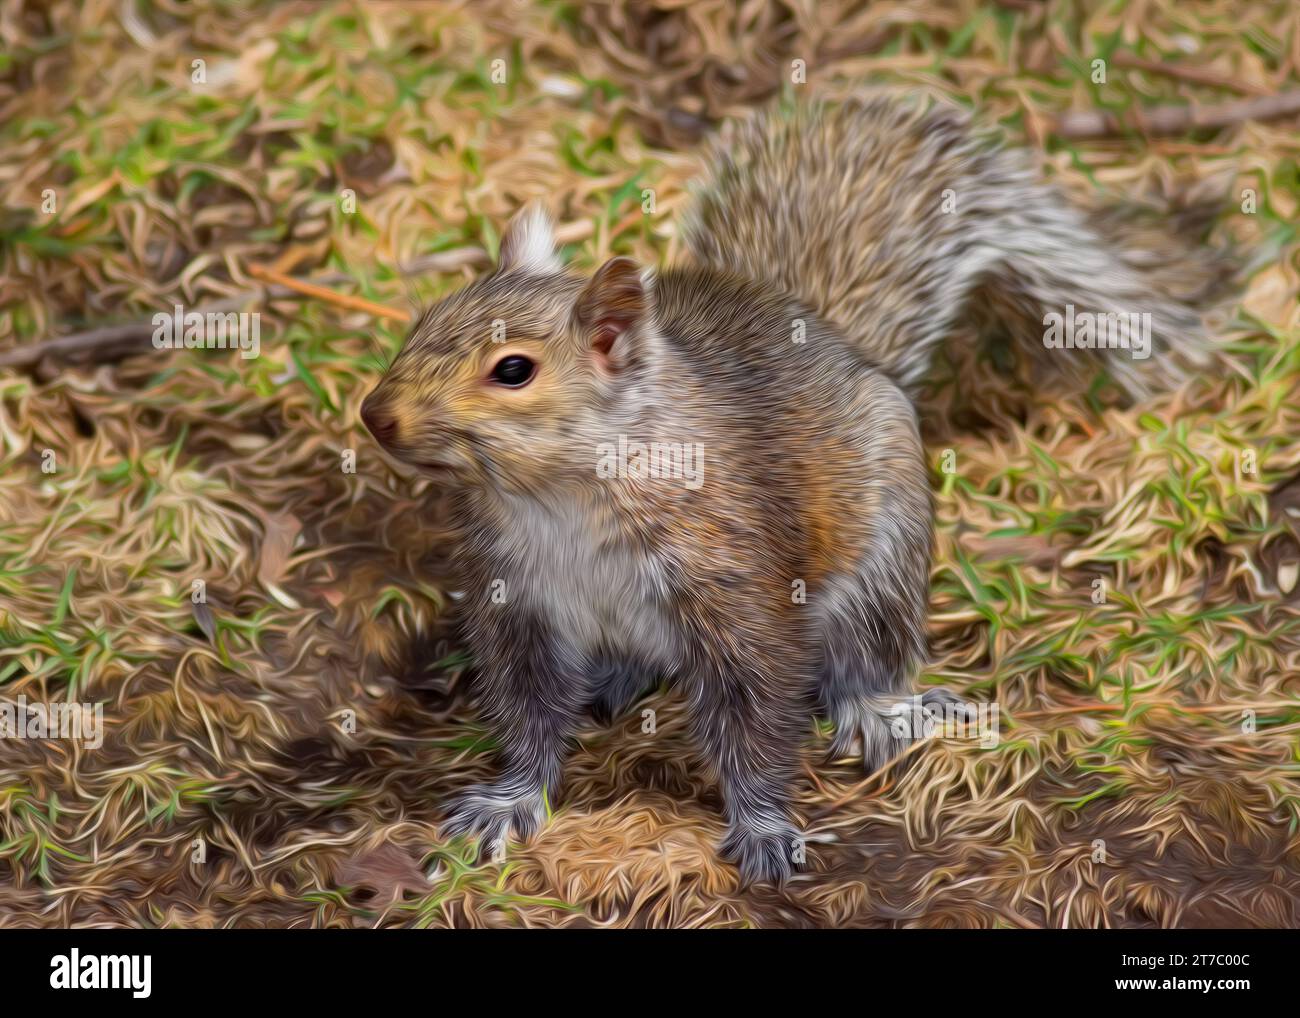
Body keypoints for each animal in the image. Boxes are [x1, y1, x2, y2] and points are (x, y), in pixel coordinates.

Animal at [364, 93, 1227, 884]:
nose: (376, 416)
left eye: (514, 370)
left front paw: (763, 826)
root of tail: (837, 340)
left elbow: (756, 716)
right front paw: (511, 800)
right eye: (422, 321)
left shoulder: (734, 582)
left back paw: (876, 711)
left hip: (883, 559)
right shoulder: (518, 601)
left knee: (865, 655)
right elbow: (530, 716)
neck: (560, 498)